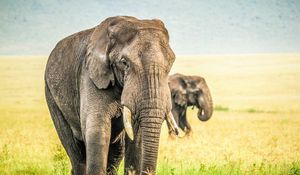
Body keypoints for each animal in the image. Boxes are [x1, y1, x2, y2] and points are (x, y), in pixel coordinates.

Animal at [44, 15, 178, 174]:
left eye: (171, 62)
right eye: (124, 62)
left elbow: (137, 136)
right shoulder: (89, 76)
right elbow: (98, 131)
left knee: (116, 152)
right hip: (51, 95)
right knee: (75, 151)